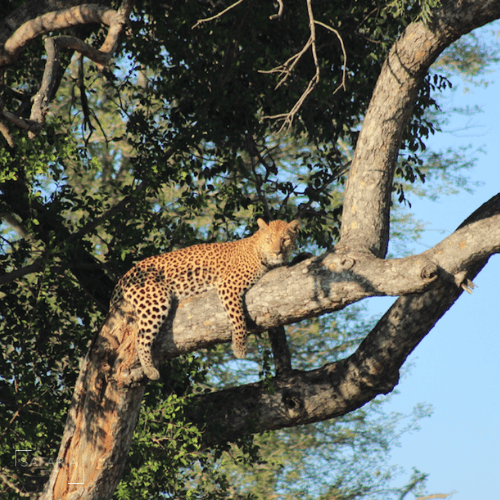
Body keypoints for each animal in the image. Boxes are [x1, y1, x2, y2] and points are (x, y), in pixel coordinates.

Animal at [110, 219, 296, 378]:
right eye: (269, 239)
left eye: (285, 239)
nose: (277, 252)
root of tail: (125, 276)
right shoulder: (228, 286)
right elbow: (238, 318)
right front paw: (240, 348)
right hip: (155, 301)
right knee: (140, 338)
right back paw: (150, 370)